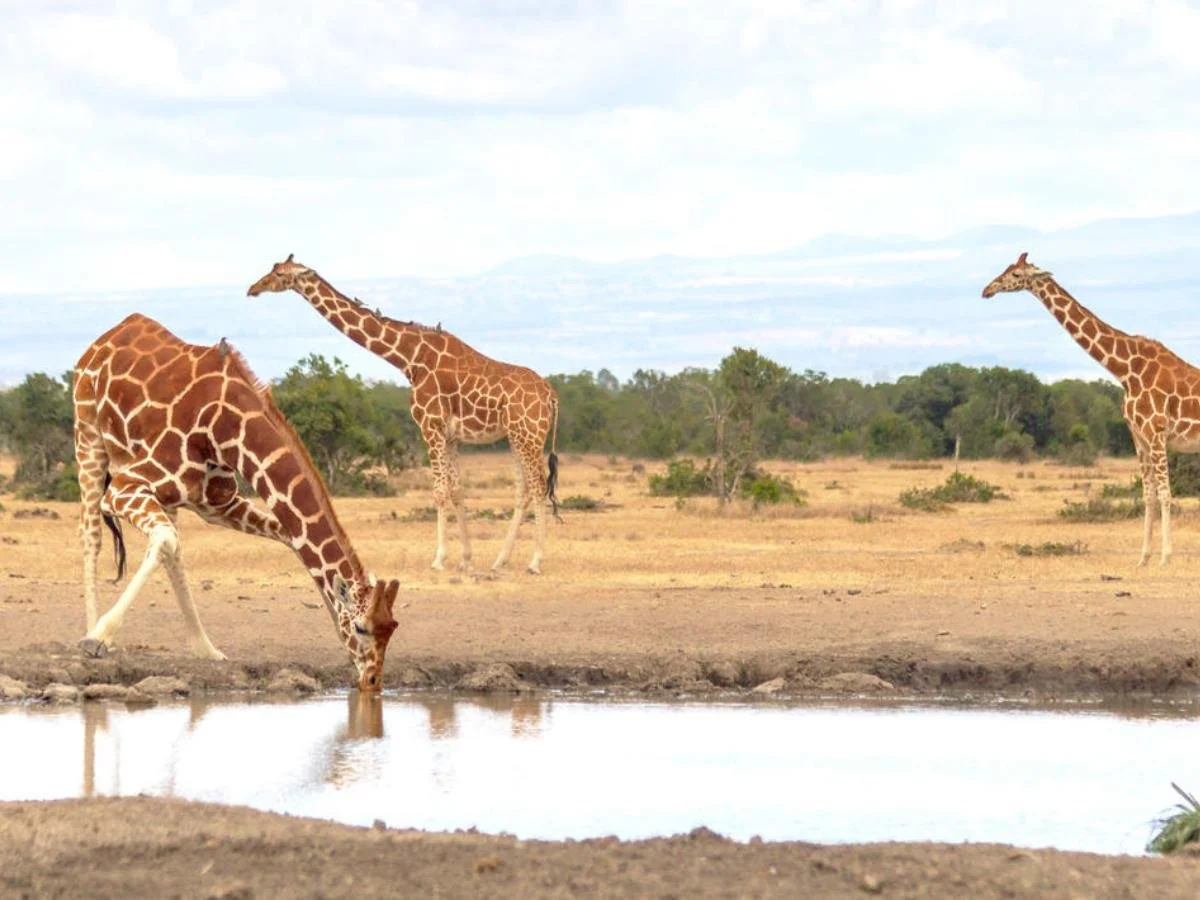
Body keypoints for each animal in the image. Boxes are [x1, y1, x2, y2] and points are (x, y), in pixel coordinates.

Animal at [73, 313, 400, 691]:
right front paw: (100, 637)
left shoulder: (217, 503)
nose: (373, 681)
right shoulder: (124, 487)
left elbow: (291, 539)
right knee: (93, 536)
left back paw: (205, 647)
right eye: (361, 628)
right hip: (88, 437)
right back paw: (90, 630)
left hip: (166, 494)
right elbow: (162, 539)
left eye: (391, 628)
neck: (225, 430)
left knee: (170, 548)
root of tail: (109, 335)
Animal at [247, 255, 560, 574]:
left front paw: (439, 559)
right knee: (524, 491)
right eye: (272, 269)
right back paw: (500, 561)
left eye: (279, 274)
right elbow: (457, 491)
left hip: (528, 436)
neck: (409, 359)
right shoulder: (449, 434)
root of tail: (551, 396)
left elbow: (440, 491)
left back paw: (535, 562)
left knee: (538, 487)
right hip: (515, 437)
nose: (253, 288)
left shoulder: (429, 425)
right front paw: (465, 559)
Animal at [982, 251, 1200, 567]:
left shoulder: (1156, 432)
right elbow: (1147, 494)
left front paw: (1164, 558)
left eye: (1015, 275)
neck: (1124, 370)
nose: (987, 290)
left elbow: (1165, 494)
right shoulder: (1139, 436)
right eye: (1007, 268)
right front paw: (1143, 558)